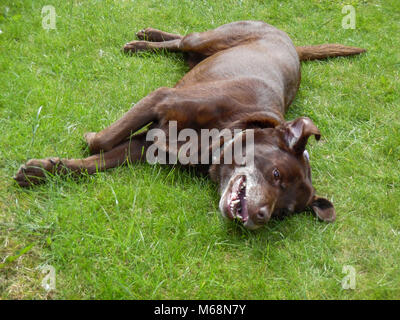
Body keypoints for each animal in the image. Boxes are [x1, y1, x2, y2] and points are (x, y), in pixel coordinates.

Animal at [14, 20, 366, 229]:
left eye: (285, 212)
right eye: (277, 174)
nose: (261, 217)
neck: (219, 141)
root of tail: (290, 40)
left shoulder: (146, 145)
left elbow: (98, 160)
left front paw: (44, 170)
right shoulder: (161, 98)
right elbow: (100, 142)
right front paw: (86, 139)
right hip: (206, 40)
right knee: (181, 39)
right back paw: (146, 40)